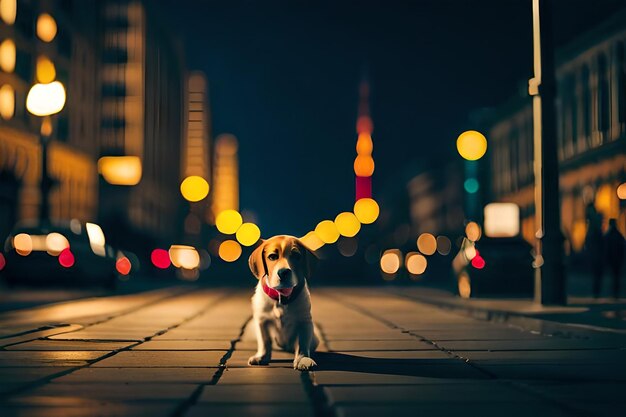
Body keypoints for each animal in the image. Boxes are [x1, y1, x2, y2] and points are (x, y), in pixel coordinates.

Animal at [247, 234, 320, 370]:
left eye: (296, 256)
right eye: (272, 257)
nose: (283, 272)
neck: (282, 296)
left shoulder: (304, 321)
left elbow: (302, 344)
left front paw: (302, 359)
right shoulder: (261, 320)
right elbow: (264, 341)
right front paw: (262, 356)